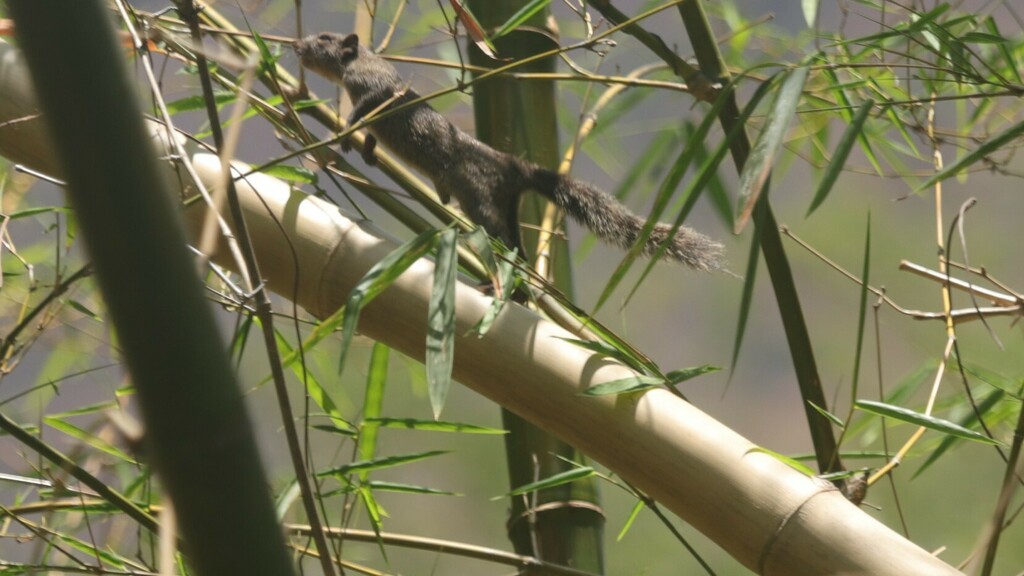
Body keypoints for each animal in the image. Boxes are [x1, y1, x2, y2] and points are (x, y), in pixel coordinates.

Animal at [294, 32, 723, 271]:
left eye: (325, 38)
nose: (296, 45)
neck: (358, 63)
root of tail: (513, 167)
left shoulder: (375, 88)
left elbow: (366, 109)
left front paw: (345, 130)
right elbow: (371, 134)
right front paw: (366, 149)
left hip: (482, 203)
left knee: (499, 234)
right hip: (505, 210)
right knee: (517, 244)